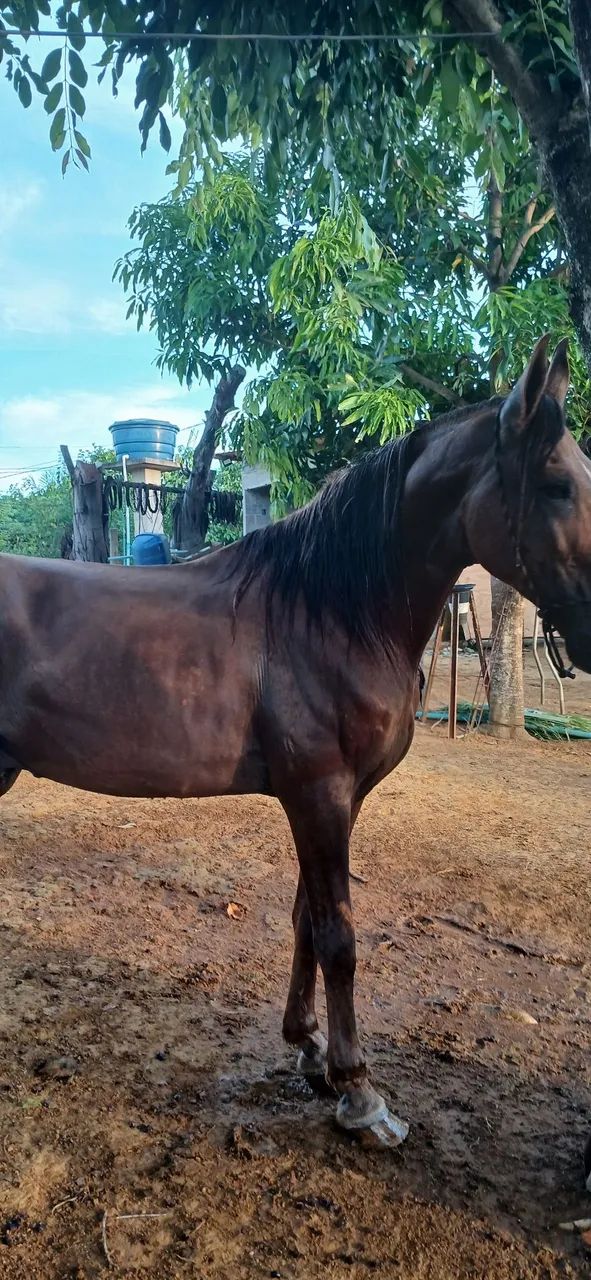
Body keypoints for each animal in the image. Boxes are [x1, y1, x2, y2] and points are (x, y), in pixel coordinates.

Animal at [1, 336, 590, 1146]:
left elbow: (306, 919)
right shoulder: (318, 794)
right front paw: (358, 1091)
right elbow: (338, 935)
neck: (332, 610)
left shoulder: (336, 801)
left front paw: (309, 1050)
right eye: (558, 483)